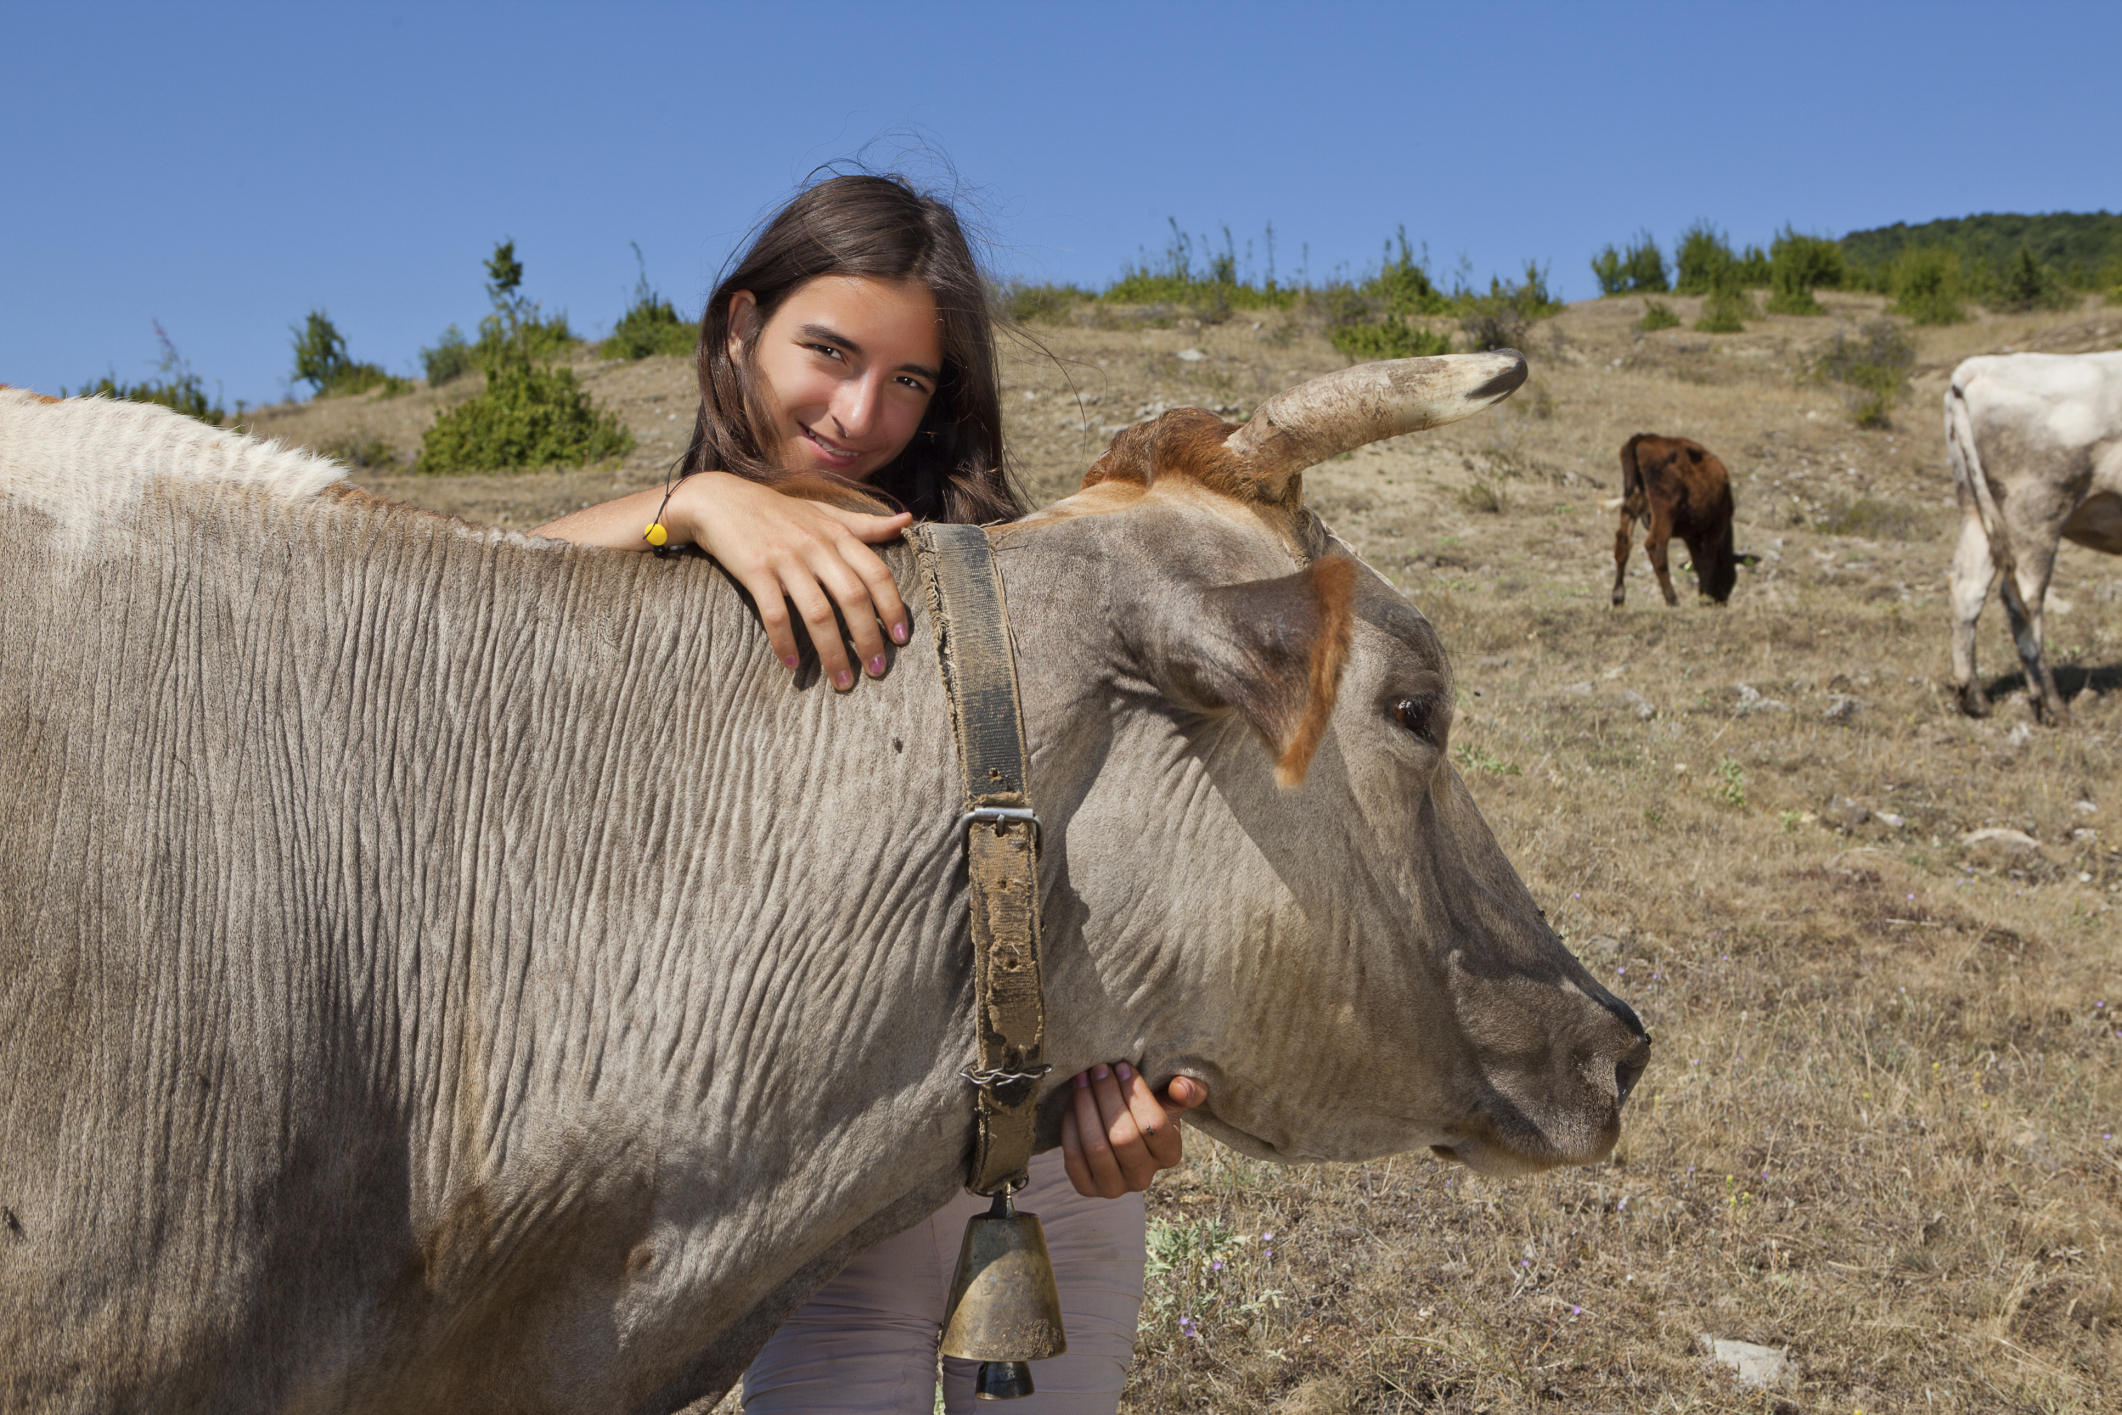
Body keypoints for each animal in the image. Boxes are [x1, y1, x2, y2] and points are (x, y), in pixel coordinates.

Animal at [1612, 434, 1731, 606]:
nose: (1721, 598)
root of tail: (1643, 438)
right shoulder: (1717, 524)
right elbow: (1707, 560)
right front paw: (1704, 597)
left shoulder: (1691, 534)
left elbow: (1698, 561)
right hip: (1664, 510)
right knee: (1655, 547)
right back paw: (1672, 598)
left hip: (1631, 504)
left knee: (1623, 541)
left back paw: (1618, 595)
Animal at [1943, 352, 2122, 725]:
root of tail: (1979, 366)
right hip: (2037, 510)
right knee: (2022, 597)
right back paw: (2051, 705)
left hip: (1976, 507)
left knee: (1967, 588)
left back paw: (1974, 700)